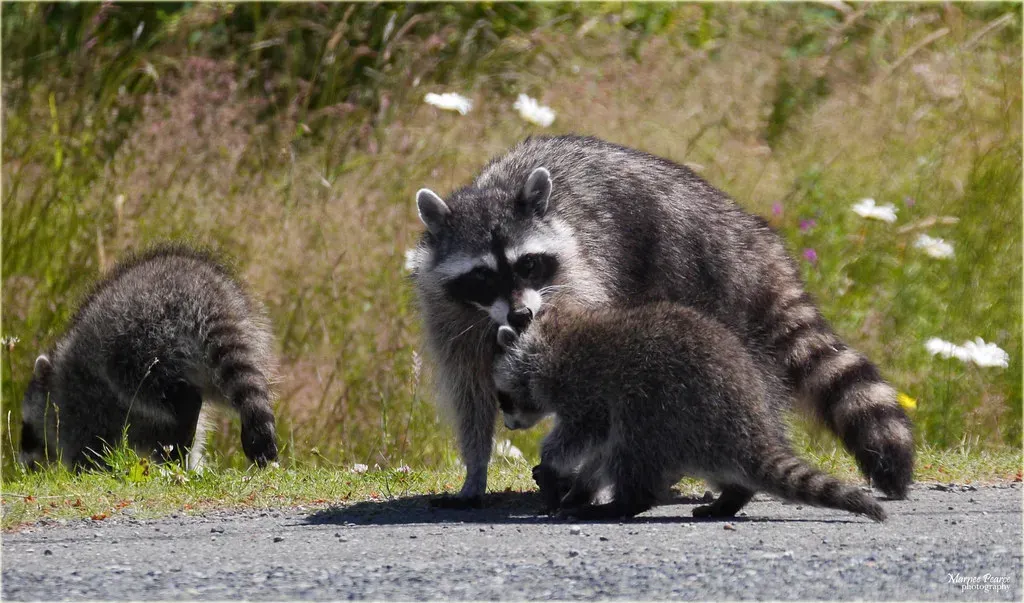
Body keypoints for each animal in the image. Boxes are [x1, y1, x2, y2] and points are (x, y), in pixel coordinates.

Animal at [19, 244, 279, 470]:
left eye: (26, 427)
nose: (24, 465)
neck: (56, 379)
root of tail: (203, 296)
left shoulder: (82, 403)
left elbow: (87, 444)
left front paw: (86, 466)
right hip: (234, 350)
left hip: (141, 340)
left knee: (165, 393)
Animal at [492, 304, 887, 522]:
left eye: (503, 399)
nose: (509, 425)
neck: (545, 338)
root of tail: (751, 422)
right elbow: (596, 451)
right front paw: (578, 487)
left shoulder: (582, 387)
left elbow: (585, 432)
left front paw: (554, 463)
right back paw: (733, 495)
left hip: (666, 409)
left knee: (631, 445)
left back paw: (624, 503)